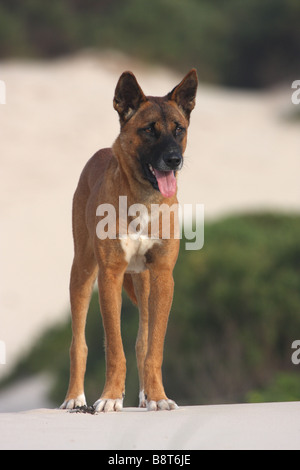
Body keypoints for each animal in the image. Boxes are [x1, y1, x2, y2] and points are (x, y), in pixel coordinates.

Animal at [60, 69, 197, 412]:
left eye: (179, 129)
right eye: (149, 130)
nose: (174, 160)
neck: (143, 200)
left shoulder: (162, 276)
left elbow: (153, 349)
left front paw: (158, 397)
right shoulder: (109, 276)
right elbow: (113, 348)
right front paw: (110, 396)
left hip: (144, 283)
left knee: (142, 341)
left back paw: (146, 395)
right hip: (82, 273)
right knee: (78, 343)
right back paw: (74, 397)